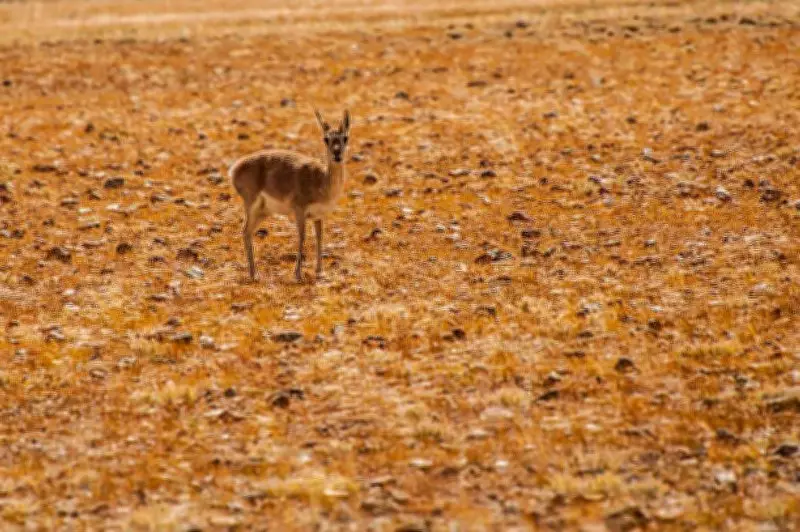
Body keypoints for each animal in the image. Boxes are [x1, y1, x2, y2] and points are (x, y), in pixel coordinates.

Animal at [229, 108, 351, 282]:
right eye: (326, 139)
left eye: (345, 138)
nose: (337, 155)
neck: (322, 181)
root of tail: (235, 168)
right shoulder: (299, 211)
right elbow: (302, 237)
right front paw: (298, 274)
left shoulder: (318, 216)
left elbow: (319, 237)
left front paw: (320, 271)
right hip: (252, 206)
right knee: (245, 231)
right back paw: (254, 275)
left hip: (263, 212)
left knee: (248, 232)